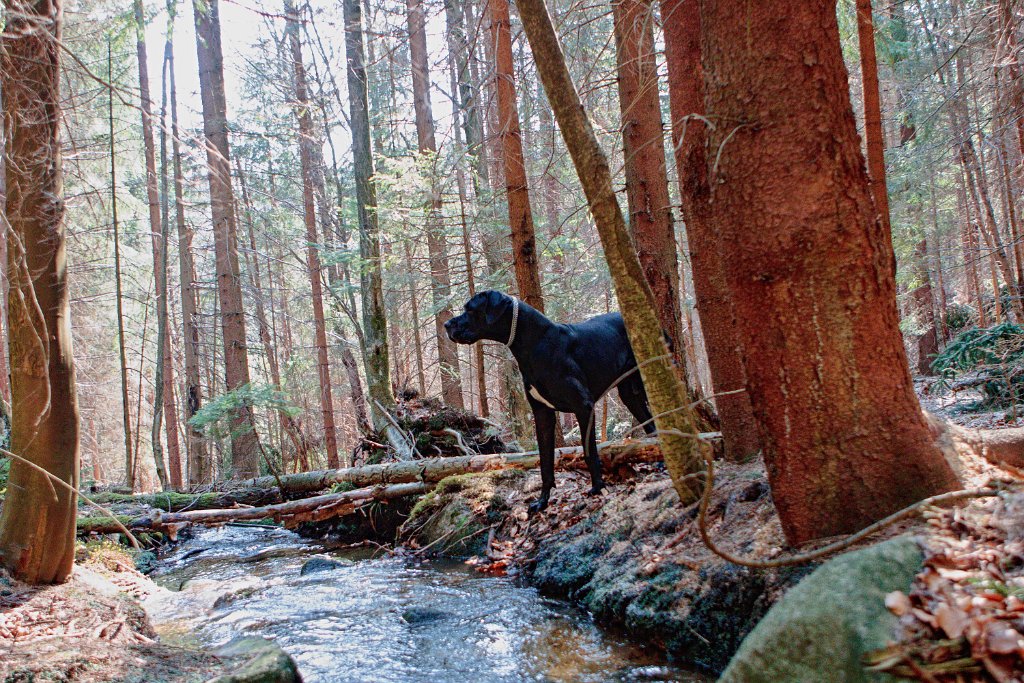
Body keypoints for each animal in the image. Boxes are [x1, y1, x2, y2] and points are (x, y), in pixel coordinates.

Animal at [446, 292, 655, 511]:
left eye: (470, 309)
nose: (446, 324)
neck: (534, 343)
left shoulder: (584, 406)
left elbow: (589, 451)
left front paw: (598, 487)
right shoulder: (542, 414)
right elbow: (545, 462)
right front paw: (542, 500)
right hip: (630, 394)